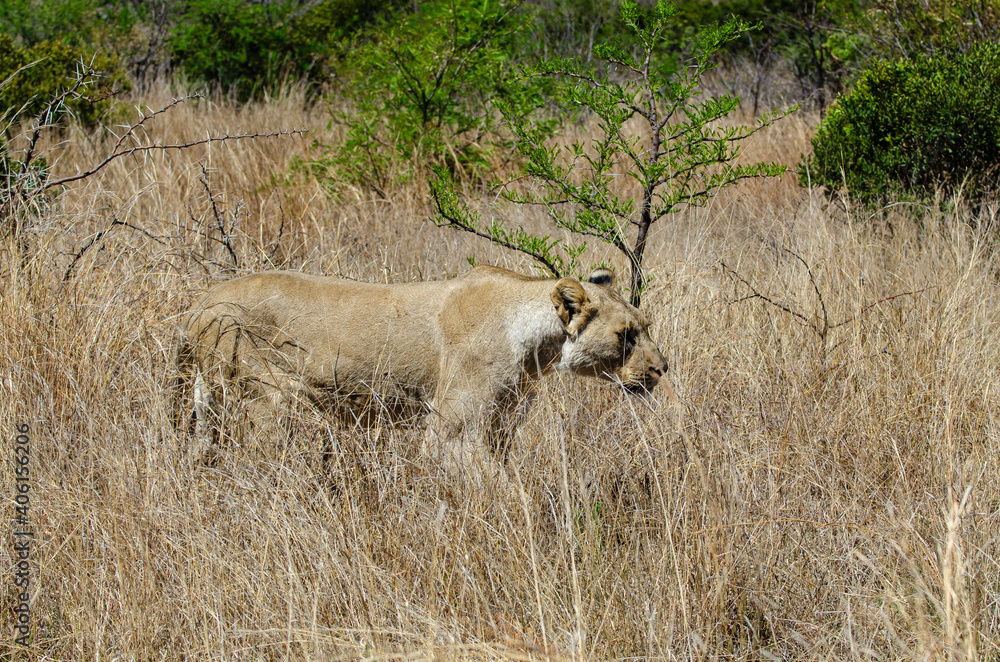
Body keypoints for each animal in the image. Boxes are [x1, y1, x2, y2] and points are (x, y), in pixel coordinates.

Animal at [175, 266, 668, 477]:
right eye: (626, 336)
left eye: (645, 326)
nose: (663, 369)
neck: (540, 349)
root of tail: (199, 302)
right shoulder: (451, 431)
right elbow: (498, 490)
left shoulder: (501, 425)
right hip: (271, 395)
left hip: (206, 405)